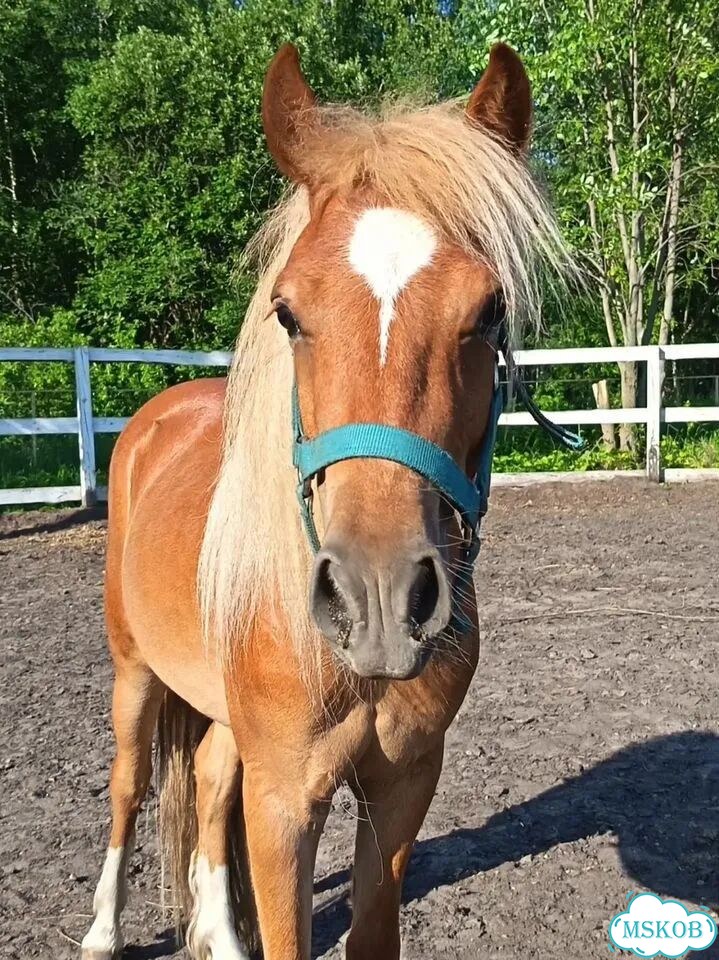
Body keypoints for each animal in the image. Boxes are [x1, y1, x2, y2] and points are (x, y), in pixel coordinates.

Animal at [80, 41, 570, 960]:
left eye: (488, 311)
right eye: (287, 311)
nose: (378, 598)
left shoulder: (403, 782)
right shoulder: (284, 800)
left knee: (208, 781)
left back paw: (218, 933)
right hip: (134, 674)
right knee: (128, 785)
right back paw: (100, 929)